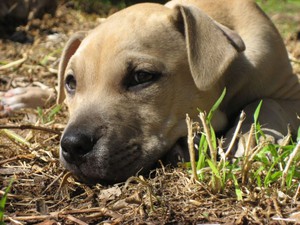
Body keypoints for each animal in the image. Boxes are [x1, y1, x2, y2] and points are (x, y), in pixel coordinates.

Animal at [1, 0, 298, 184]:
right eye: (71, 83)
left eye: (141, 77)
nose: (73, 146)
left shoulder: (289, 93)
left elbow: (265, 104)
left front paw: (245, 140)